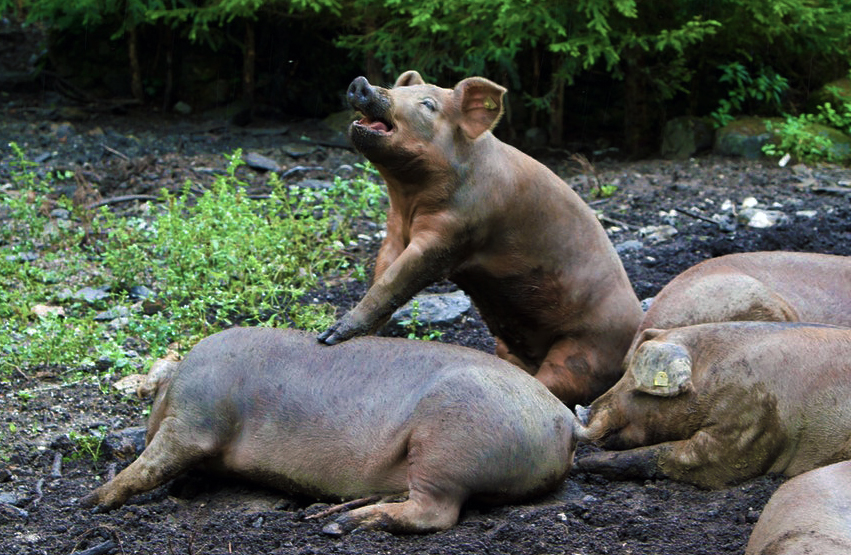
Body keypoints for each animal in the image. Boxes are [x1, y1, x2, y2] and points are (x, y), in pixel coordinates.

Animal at [81, 328, 580, 536]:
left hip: (449, 443)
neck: (173, 388)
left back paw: (345, 522)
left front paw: (90, 502)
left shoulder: (197, 417)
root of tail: (565, 418)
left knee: (436, 512)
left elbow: (155, 461)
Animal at [318, 71, 640, 406]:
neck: (409, 199)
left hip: (587, 349)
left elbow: (397, 280)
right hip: (509, 345)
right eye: (400, 90)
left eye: (428, 104)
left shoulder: (455, 232)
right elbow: (383, 273)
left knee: (558, 381)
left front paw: (327, 337)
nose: (362, 82)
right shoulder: (394, 228)